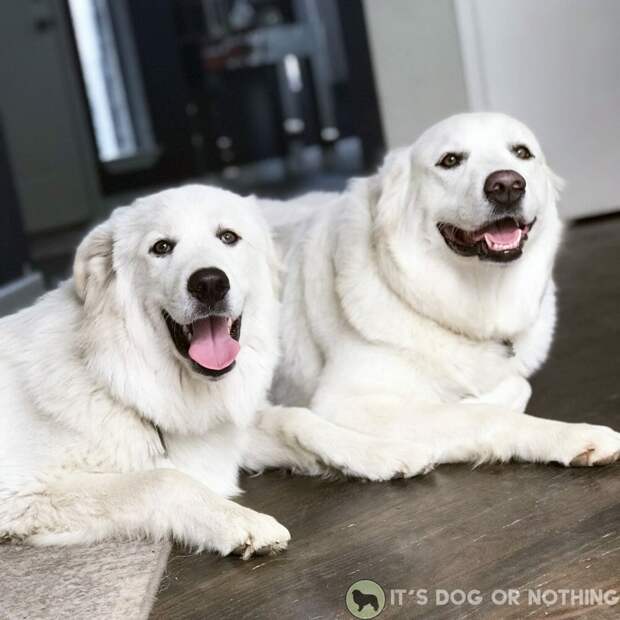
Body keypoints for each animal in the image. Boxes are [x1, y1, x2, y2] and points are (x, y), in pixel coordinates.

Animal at [249, 112, 620, 470]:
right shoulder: (346, 402)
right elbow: (486, 413)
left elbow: (517, 384)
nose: (507, 186)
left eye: (522, 152)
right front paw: (571, 435)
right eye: (450, 160)